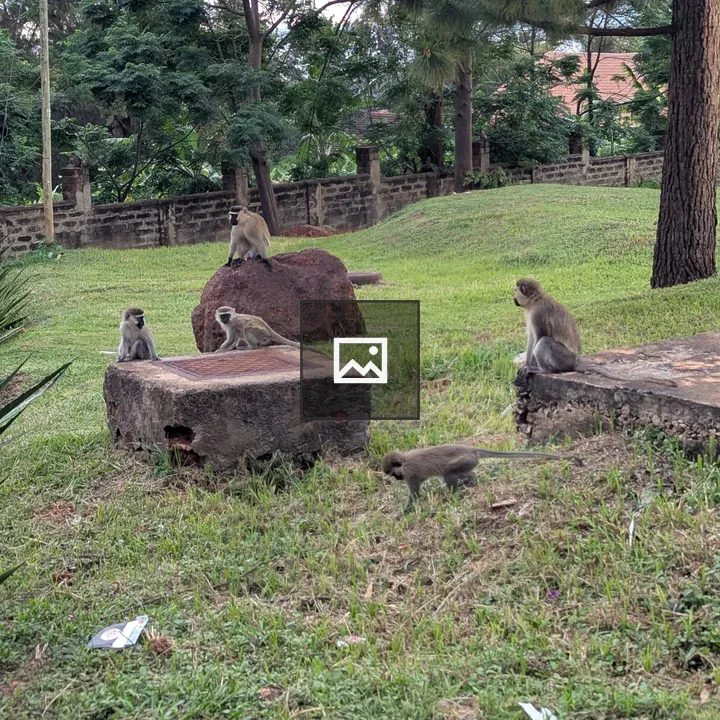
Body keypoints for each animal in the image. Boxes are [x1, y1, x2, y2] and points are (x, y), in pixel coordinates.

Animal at [382, 444, 570, 501]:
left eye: (392, 474)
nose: (397, 479)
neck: (404, 461)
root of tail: (471, 449)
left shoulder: (410, 473)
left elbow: (414, 495)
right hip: (469, 462)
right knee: (467, 473)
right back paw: (471, 481)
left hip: (465, 460)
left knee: (448, 474)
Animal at [513, 278, 677, 387]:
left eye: (515, 291)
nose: (514, 299)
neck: (534, 301)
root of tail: (575, 362)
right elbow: (531, 338)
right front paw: (525, 365)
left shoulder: (538, 313)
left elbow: (540, 336)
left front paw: (530, 367)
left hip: (563, 358)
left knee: (545, 341)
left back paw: (544, 370)